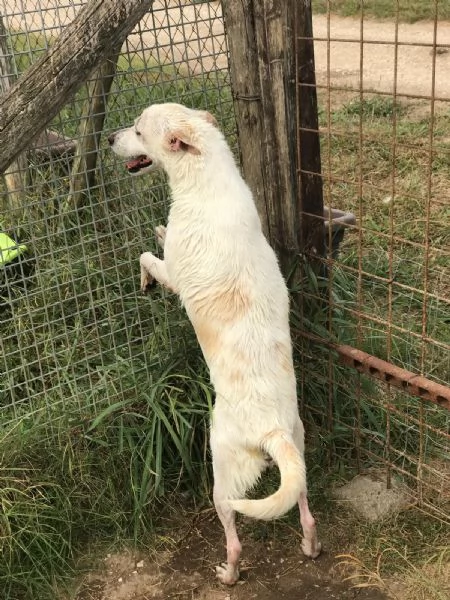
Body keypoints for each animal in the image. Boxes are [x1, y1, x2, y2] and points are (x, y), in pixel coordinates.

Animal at [107, 104, 322, 584]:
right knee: (305, 508)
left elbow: (148, 259)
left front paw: (146, 279)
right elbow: (158, 238)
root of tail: (272, 430)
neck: (206, 176)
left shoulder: (175, 274)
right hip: (298, 453)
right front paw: (158, 229)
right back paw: (310, 544)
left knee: (233, 532)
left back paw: (228, 572)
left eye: (137, 131)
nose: (109, 139)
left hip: (222, 469)